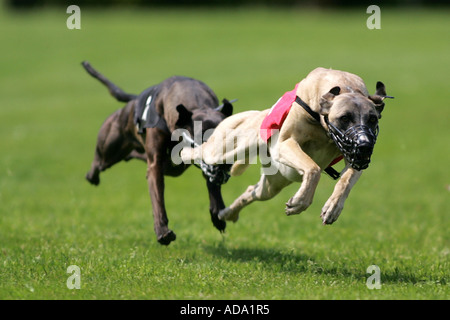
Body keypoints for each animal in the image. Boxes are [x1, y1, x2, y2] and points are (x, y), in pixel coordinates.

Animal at [82, 62, 234, 245]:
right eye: (202, 138)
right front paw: (162, 231)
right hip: (110, 149)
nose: (225, 162)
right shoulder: (155, 165)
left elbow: (213, 187)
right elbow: (158, 200)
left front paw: (218, 215)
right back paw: (92, 176)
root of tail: (132, 101)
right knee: (99, 162)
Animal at [181, 68, 392, 225]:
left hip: (274, 181)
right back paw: (184, 151)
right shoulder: (285, 143)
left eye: (373, 119)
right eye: (344, 117)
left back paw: (227, 213)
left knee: (252, 191)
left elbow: (345, 180)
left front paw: (332, 208)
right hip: (223, 151)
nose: (364, 145)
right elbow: (313, 169)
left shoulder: (354, 157)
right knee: (197, 152)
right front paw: (299, 202)